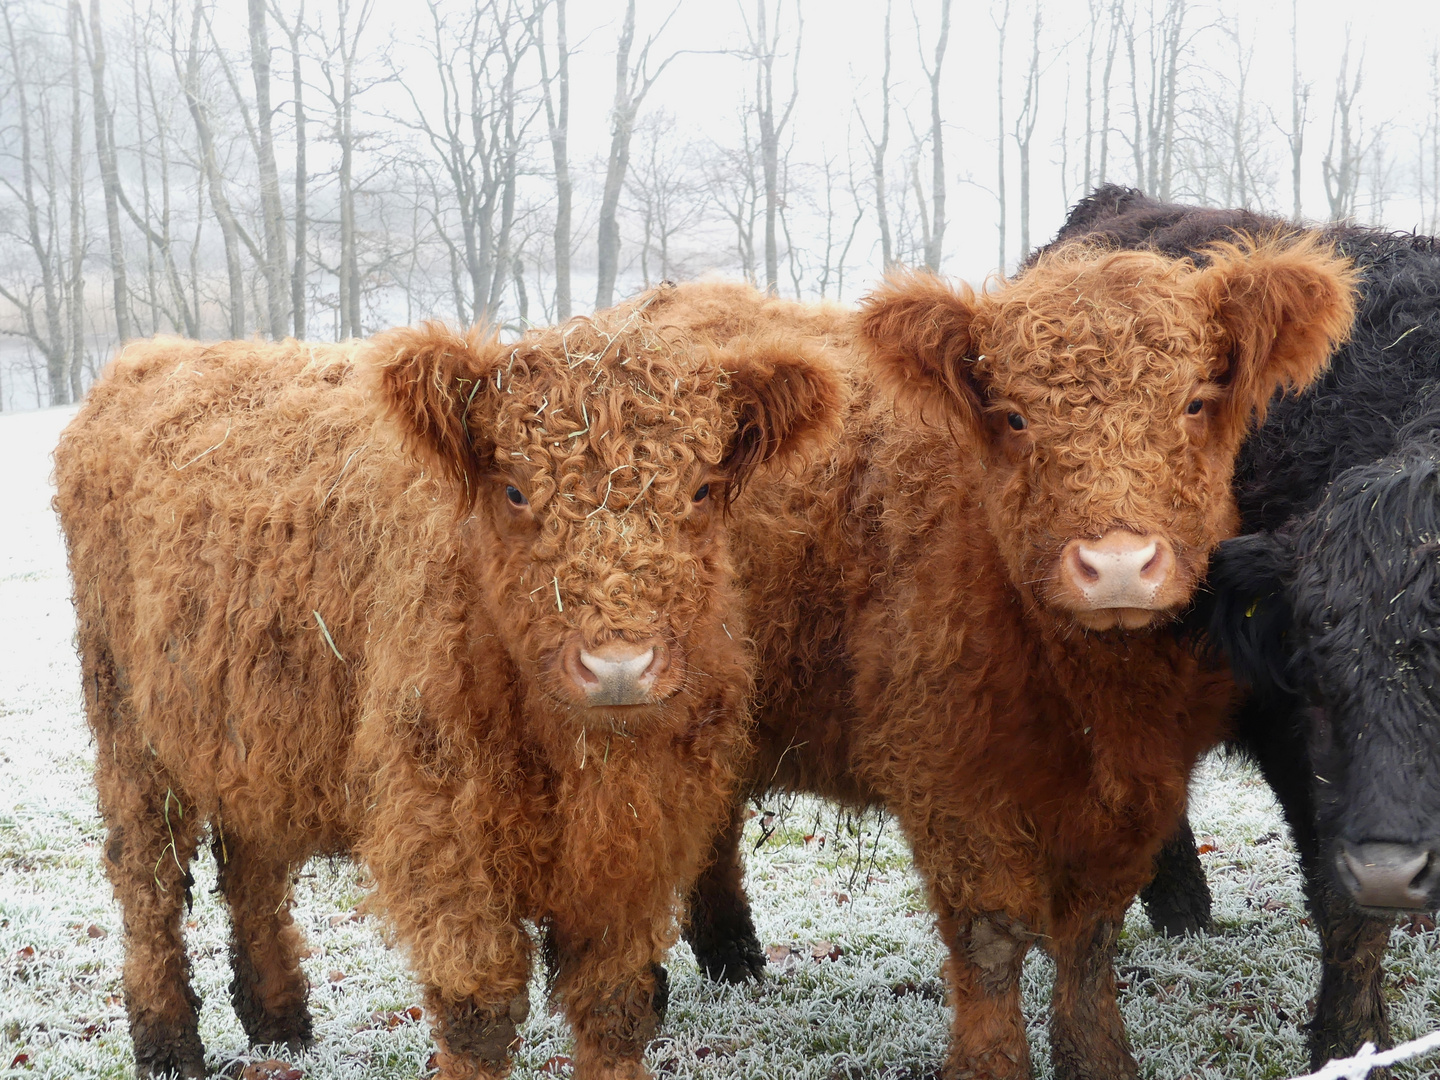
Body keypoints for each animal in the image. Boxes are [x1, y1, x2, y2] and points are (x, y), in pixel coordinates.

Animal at [53, 305, 840, 1080]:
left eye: (701, 489)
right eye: (515, 489)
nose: (618, 665)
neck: (577, 763)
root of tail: (155, 356)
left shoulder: (644, 846)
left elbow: (615, 1008)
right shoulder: (442, 836)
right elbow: (477, 1015)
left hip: (250, 739)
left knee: (252, 870)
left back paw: (279, 1025)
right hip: (128, 733)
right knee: (148, 884)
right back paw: (167, 1046)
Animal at [665, 240, 1359, 1077]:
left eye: (1194, 403)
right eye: (1017, 416)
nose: (1118, 564)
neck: (1098, 704)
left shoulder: (1146, 785)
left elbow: (1090, 938)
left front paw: (1097, 1056)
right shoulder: (946, 777)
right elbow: (989, 939)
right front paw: (992, 1061)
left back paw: (732, 962)